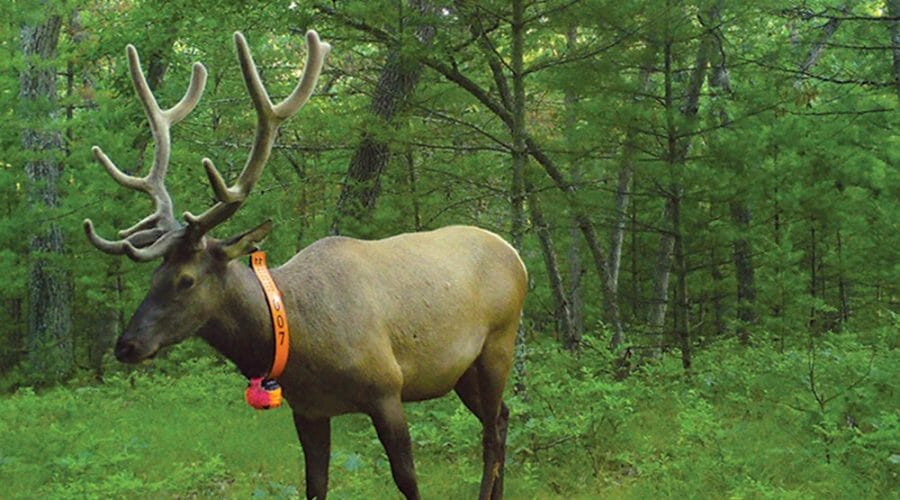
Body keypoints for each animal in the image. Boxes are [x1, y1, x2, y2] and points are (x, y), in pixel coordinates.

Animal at [84, 31, 528, 500]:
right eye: (155, 275)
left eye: (186, 280)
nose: (127, 345)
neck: (299, 339)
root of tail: (516, 256)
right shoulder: (309, 409)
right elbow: (315, 483)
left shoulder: (387, 388)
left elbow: (407, 480)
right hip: (462, 370)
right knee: (502, 417)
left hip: (499, 343)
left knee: (491, 430)